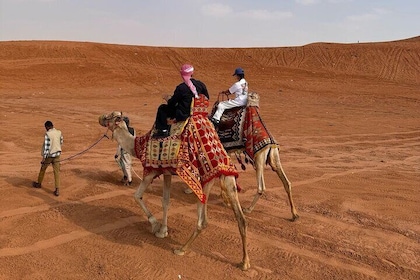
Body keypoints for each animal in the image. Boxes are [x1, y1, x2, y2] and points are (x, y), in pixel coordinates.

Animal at [98, 110, 249, 270]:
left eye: (109, 116)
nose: (100, 118)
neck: (138, 146)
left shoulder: (151, 172)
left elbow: (137, 196)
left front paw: (155, 225)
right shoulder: (167, 172)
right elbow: (165, 201)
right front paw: (163, 231)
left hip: (203, 183)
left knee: (202, 221)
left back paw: (181, 249)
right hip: (225, 177)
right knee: (240, 218)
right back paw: (244, 262)